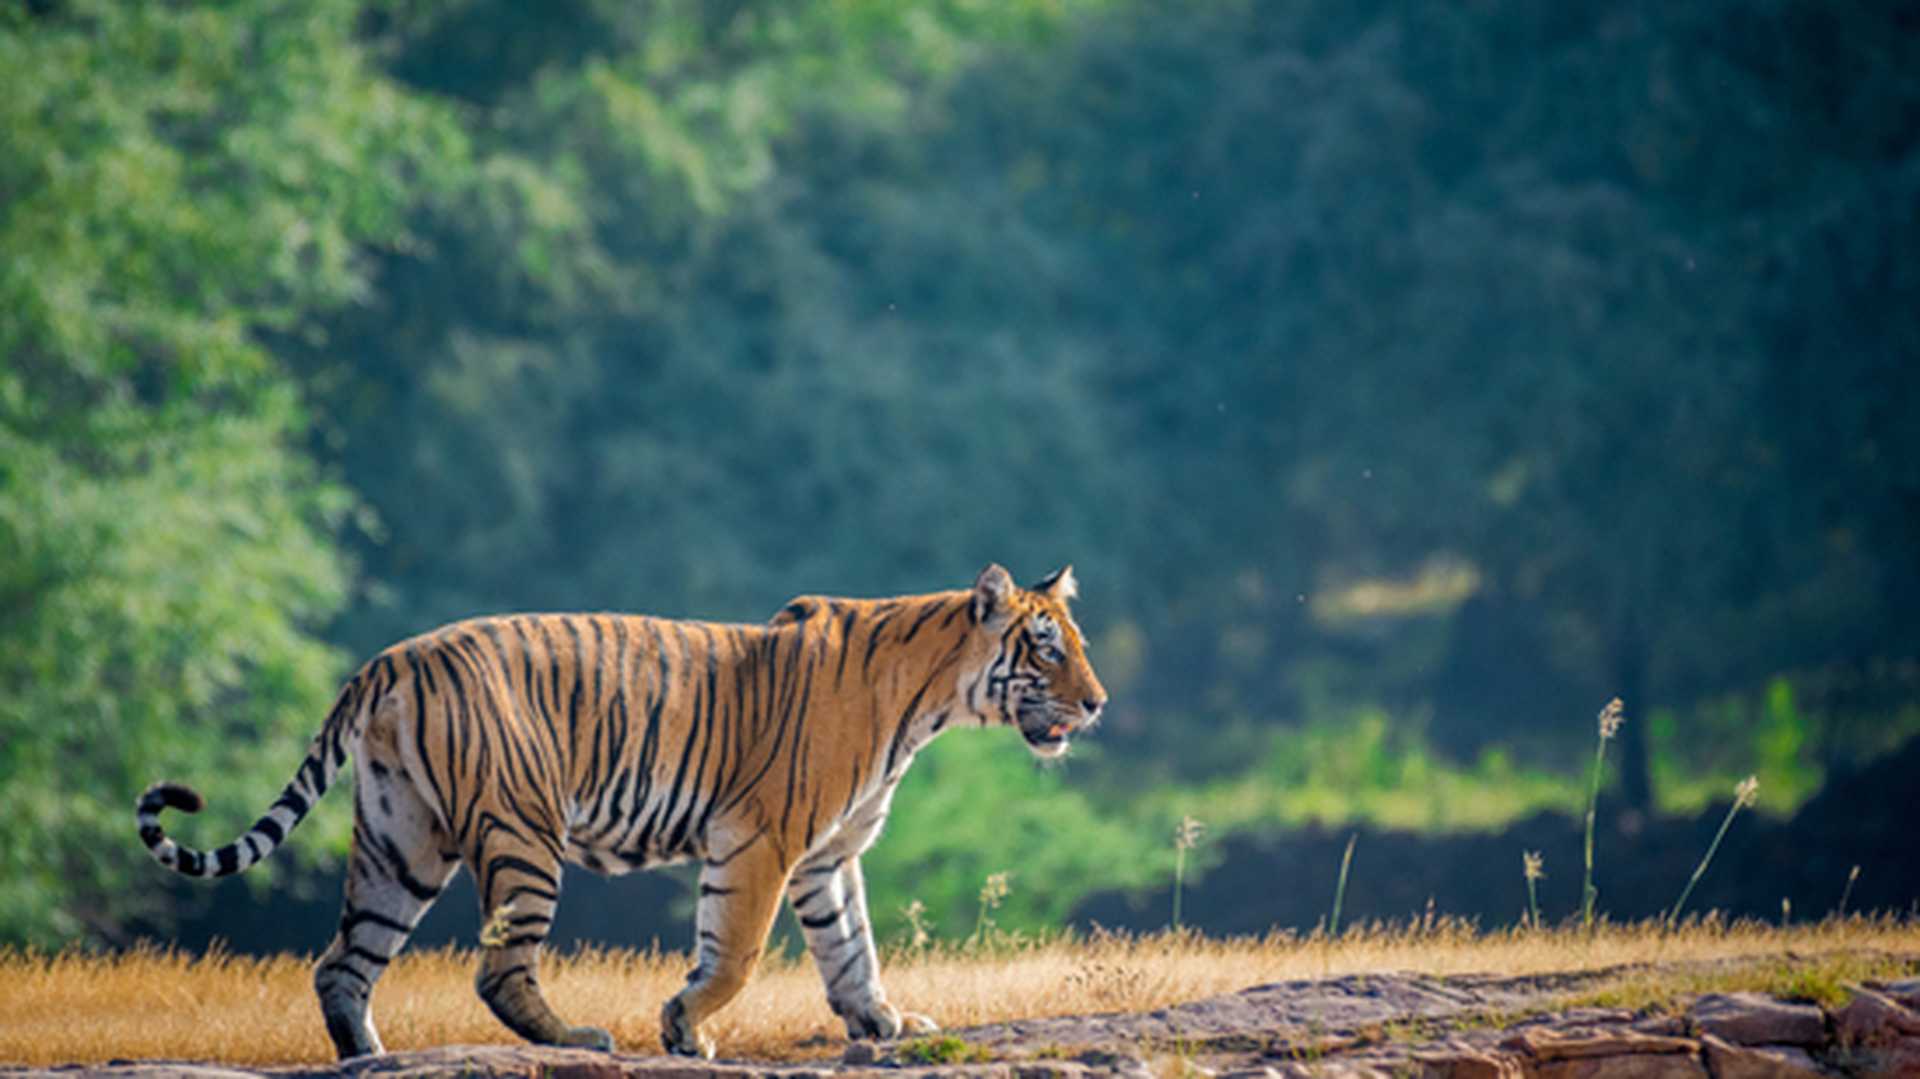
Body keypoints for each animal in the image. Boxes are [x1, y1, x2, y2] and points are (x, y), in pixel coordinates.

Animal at [136, 563, 1106, 1060]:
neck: (932, 700)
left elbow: (851, 946)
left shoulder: (829, 855)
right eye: (1046, 650)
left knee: (343, 961)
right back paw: (577, 1039)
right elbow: (737, 952)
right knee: (498, 968)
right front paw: (684, 1028)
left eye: (1076, 644)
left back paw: (371, 1057)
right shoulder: (760, 839)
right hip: (523, 833)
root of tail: (389, 658)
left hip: (399, 842)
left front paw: (883, 1022)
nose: (1098, 703)